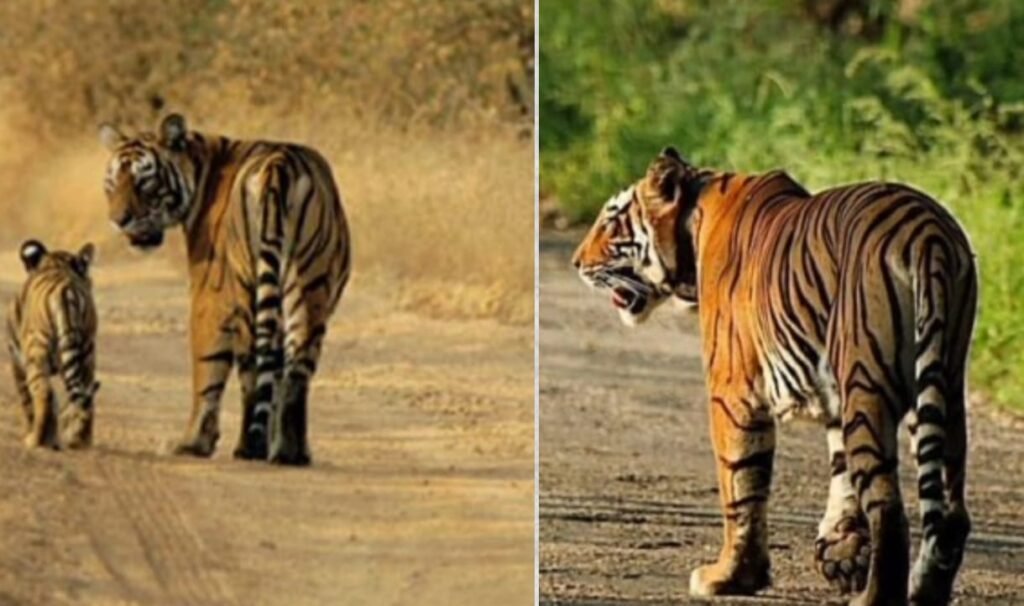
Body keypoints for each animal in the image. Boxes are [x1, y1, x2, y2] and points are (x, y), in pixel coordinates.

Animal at [7, 240, 100, 450]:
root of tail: (67, 290)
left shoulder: (17, 362)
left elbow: (27, 402)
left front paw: (37, 434)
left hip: (36, 352)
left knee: (44, 393)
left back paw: (35, 440)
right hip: (87, 352)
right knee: (86, 397)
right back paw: (80, 441)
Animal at [98, 113, 352, 466]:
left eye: (144, 181)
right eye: (113, 182)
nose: (118, 220)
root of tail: (281, 162)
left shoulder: (209, 295)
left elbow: (207, 369)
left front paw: (193, 443)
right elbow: (276, 376)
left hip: (246, 285)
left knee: (251, 366)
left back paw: (248, 447)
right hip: (310, 285)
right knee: (297, 368)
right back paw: (291, 452)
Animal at [572, 147, 977, 606]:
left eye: (610, 221)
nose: (577, 262)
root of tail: (928, 236)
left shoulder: (731, 392)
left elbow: (740, 485)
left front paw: (730, 576)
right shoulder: (833, 394)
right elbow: (839, 470)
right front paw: (840, 552)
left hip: (866, 380)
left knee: (889, 507)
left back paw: (875, 596)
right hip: (945, 382)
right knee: (951, 509)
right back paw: (925, 590)